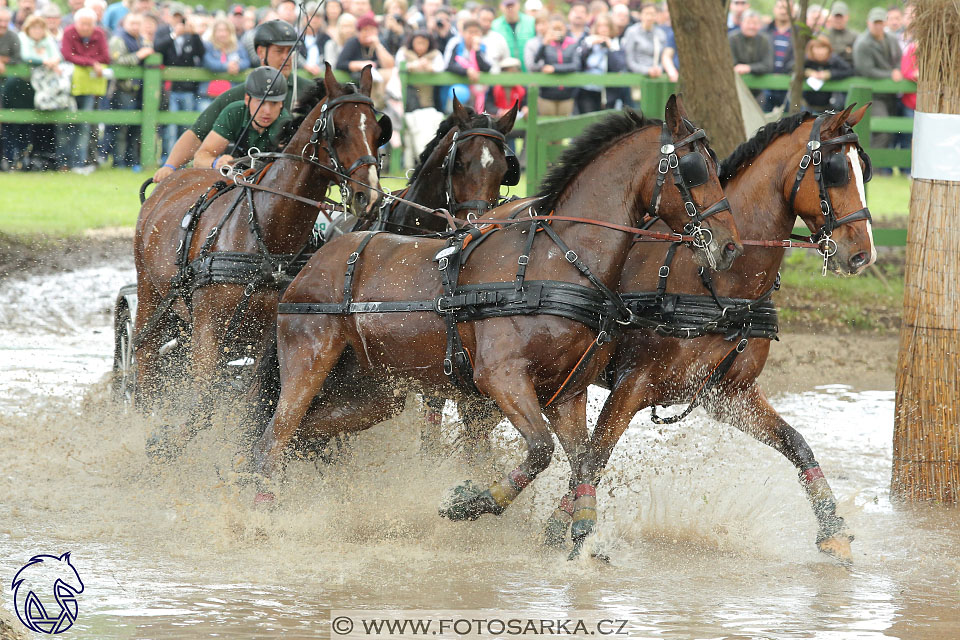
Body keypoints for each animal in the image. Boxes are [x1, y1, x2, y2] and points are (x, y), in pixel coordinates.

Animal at [134, 65, 390, 460]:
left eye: (379, 132)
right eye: (339, 130)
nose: (370, 196)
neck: (264, 232)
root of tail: (169, 182)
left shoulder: (270, 332)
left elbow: (254, 399)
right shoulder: (208, 325)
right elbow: (202, 400)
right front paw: (168, 447)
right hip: (151, 296)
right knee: (143, 358)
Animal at [248, 97, 744, 536]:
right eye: (695, 169)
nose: (730, 245)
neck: (555, 260)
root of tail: (313, 261)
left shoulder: (567, 393)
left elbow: (584, 460)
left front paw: (580, 530)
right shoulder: (501, 378)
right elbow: (541, 450)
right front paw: (475, 501)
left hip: (374, 389)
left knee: (307, 432)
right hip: (309, 361)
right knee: (275, 435)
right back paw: (259, 515)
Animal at [540, 102, 876, 564]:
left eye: (865, 169)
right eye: (837, 171)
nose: (864, 254)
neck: (715, 283)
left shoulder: (730, 394)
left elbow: (797, 444)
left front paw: (833, 529)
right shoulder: (632, 384)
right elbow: (595, 455)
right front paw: (571, 530)